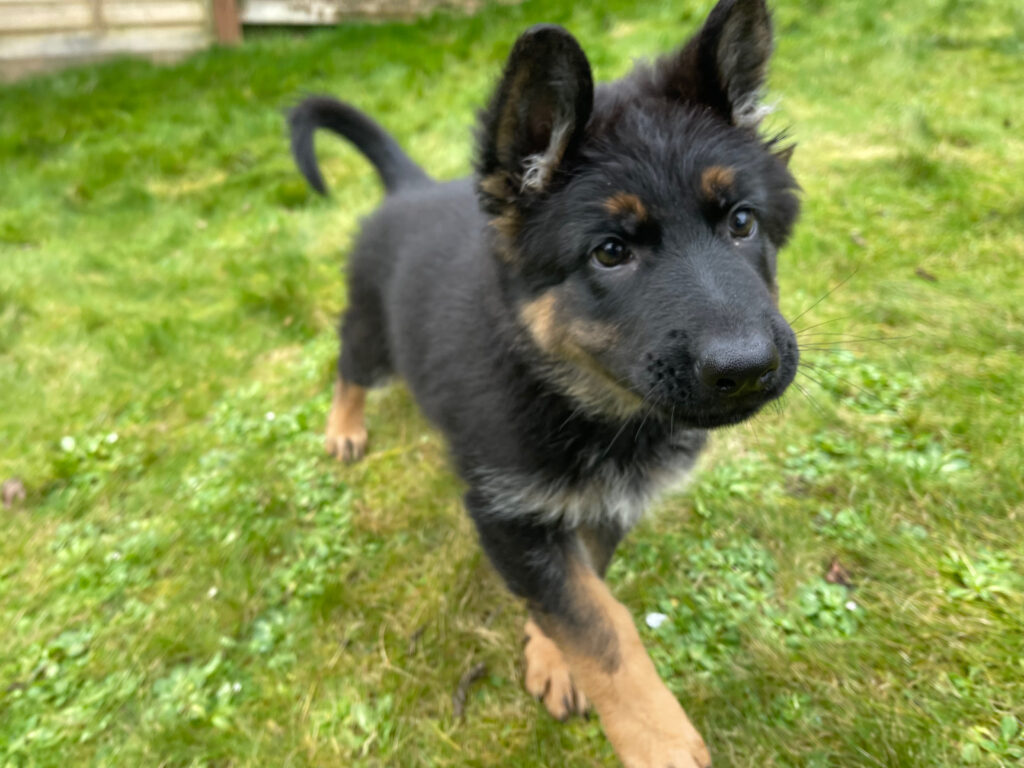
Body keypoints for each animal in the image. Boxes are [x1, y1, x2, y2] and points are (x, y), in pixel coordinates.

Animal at [288, 1, 798, 765]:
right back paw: (344, 428)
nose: (748, 371)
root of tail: (409, 188)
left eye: (742, 222)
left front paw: (552, 658)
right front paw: (659, 740)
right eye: (610, 252)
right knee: (348, 364)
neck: (580, 395)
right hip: (374, 336)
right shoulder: (505, 510)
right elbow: (596, 622)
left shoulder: (605, 506)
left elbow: (584, 585)